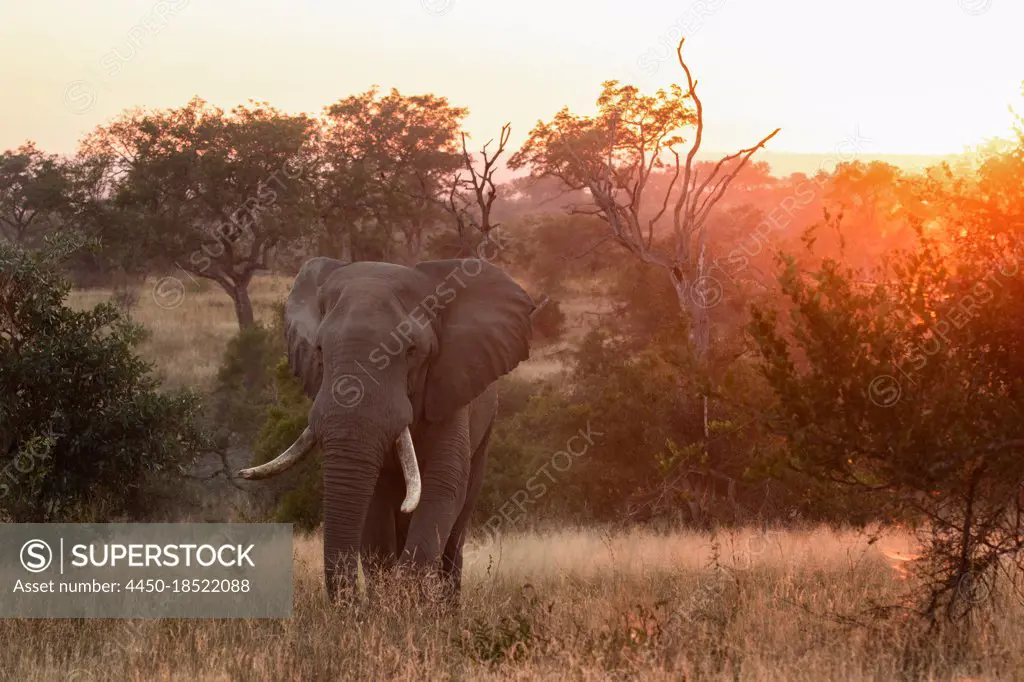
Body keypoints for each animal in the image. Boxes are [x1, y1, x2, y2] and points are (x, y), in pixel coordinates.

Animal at [234, 254, 532, 602]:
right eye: (319, 350)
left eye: (412, 351)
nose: (351, 605)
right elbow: (375, 506)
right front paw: (386, 601)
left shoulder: (450, 390)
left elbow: (442, 484)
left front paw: (407, 603)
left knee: (456, 530)